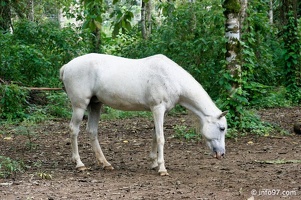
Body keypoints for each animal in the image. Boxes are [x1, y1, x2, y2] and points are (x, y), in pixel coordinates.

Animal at [59, 53, 227, 175]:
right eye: (222, 128)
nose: (222, 154)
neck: (170, 77)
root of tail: (67, 66)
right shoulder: (158, 109)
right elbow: (160, 138)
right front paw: (162, 169)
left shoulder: (161, 112)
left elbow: (154, 135)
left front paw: (153, 163)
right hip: (80, 106)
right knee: (74, 130)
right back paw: (79, 164)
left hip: (95, 105)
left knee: (92, 131)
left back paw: (105, 163)